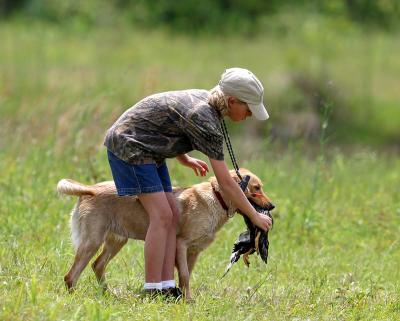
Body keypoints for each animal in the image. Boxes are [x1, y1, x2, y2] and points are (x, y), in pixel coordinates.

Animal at [57, 168, 274, 298]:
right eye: (256, 188)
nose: (272, 206)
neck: (216, 197)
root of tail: (89, 190)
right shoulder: (181, 245)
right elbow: (184, 275)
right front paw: (188, 301)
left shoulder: (193, 252)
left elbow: (186, 276)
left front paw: (184, 298)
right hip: (92, 242)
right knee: (71, 275)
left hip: (116, 241)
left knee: (97, 265)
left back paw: (108, 295)